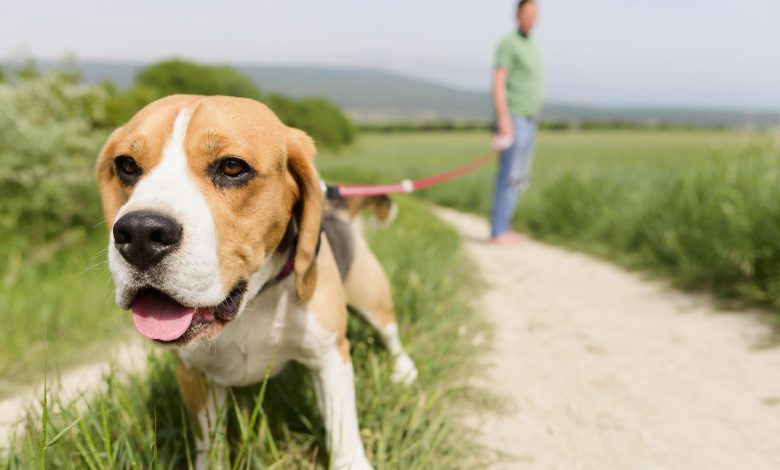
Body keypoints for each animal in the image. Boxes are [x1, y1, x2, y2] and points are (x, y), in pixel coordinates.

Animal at [98, 93, 420, 468]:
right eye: (127, 165)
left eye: (232, 167)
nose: (139, 234)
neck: (251, 303)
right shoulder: (194, 375)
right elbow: (211, 445)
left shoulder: (330, 356)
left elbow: (343, 434)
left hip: (372, 299)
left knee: (391, 335)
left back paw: (404, 370)